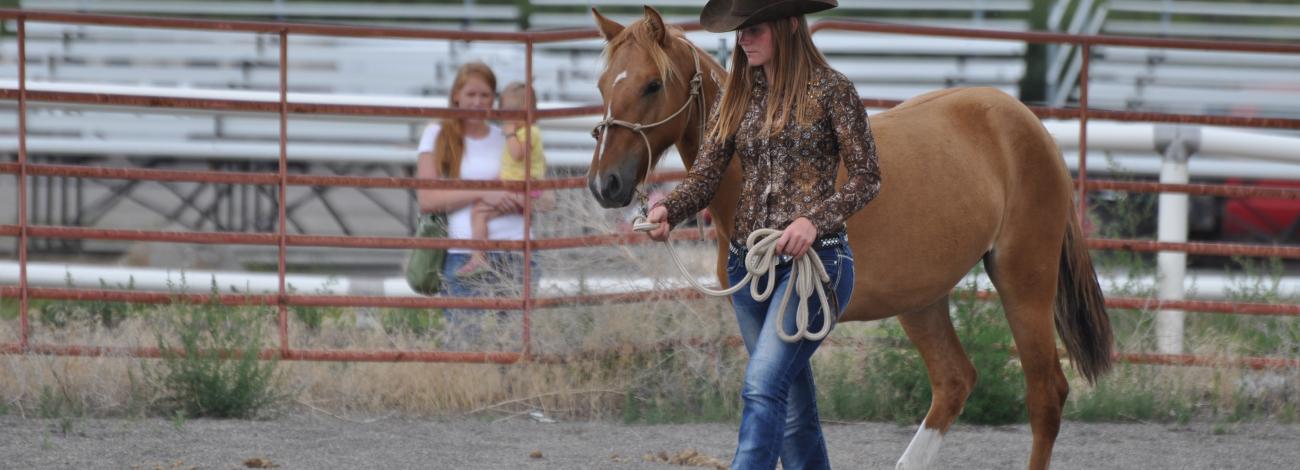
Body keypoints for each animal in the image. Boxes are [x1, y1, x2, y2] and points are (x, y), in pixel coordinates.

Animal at [592, 8, 1118, 470]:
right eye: (602, 85)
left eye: (653, 84)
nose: (604, 184)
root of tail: (1032, 126)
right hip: (922, 299)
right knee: (955, 380)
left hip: (1024, 281)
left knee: (1045, 393)